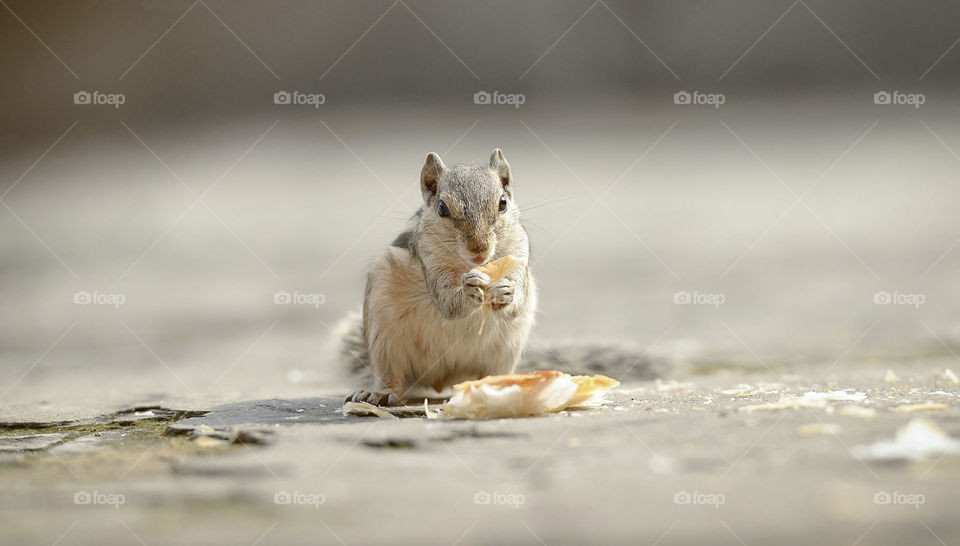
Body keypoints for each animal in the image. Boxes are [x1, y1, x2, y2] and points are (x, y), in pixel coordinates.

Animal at [334, 148, 666, 406]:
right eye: (441, 208)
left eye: (503, 203)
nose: (479, 250)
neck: (468, 264)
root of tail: (444, 379)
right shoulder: (428, 258)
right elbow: (448, 303)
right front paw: (469, 289)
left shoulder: (520, 253)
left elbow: (515, 295)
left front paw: (507, 291)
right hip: (384, 337)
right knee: (392, 375)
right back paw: (379, 394)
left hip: (505, 350)